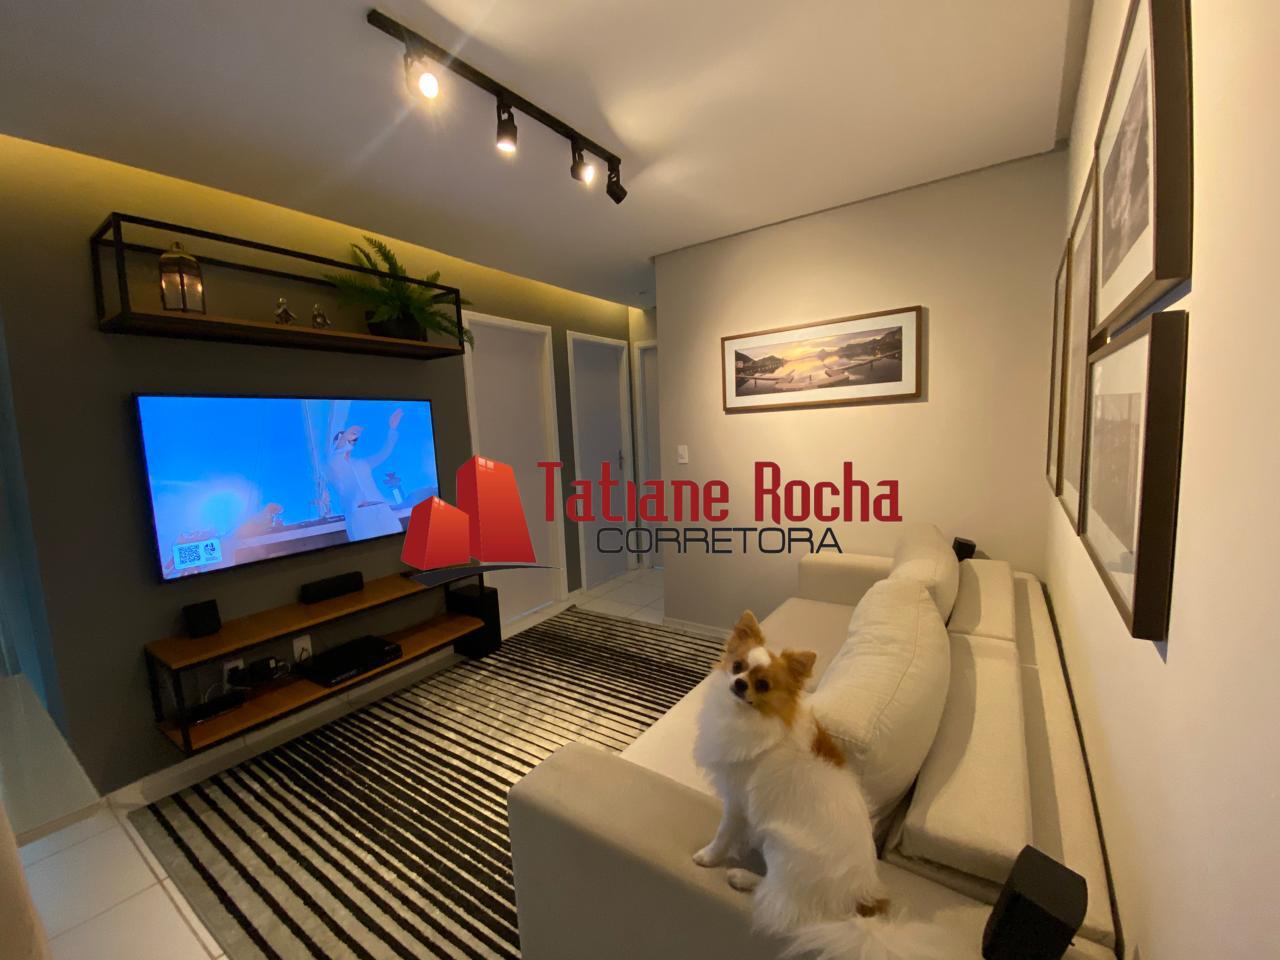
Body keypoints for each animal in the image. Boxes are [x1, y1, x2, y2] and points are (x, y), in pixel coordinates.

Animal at [692, 611, 940, 960]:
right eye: (737, 666)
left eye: (763, 685)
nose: (739, 683)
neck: (749, 718)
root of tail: (857, 905)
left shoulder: (737, 800)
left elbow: (723, 833)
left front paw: (708, 857)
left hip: (783, 848)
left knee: (783, 904)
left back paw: (743, 877)